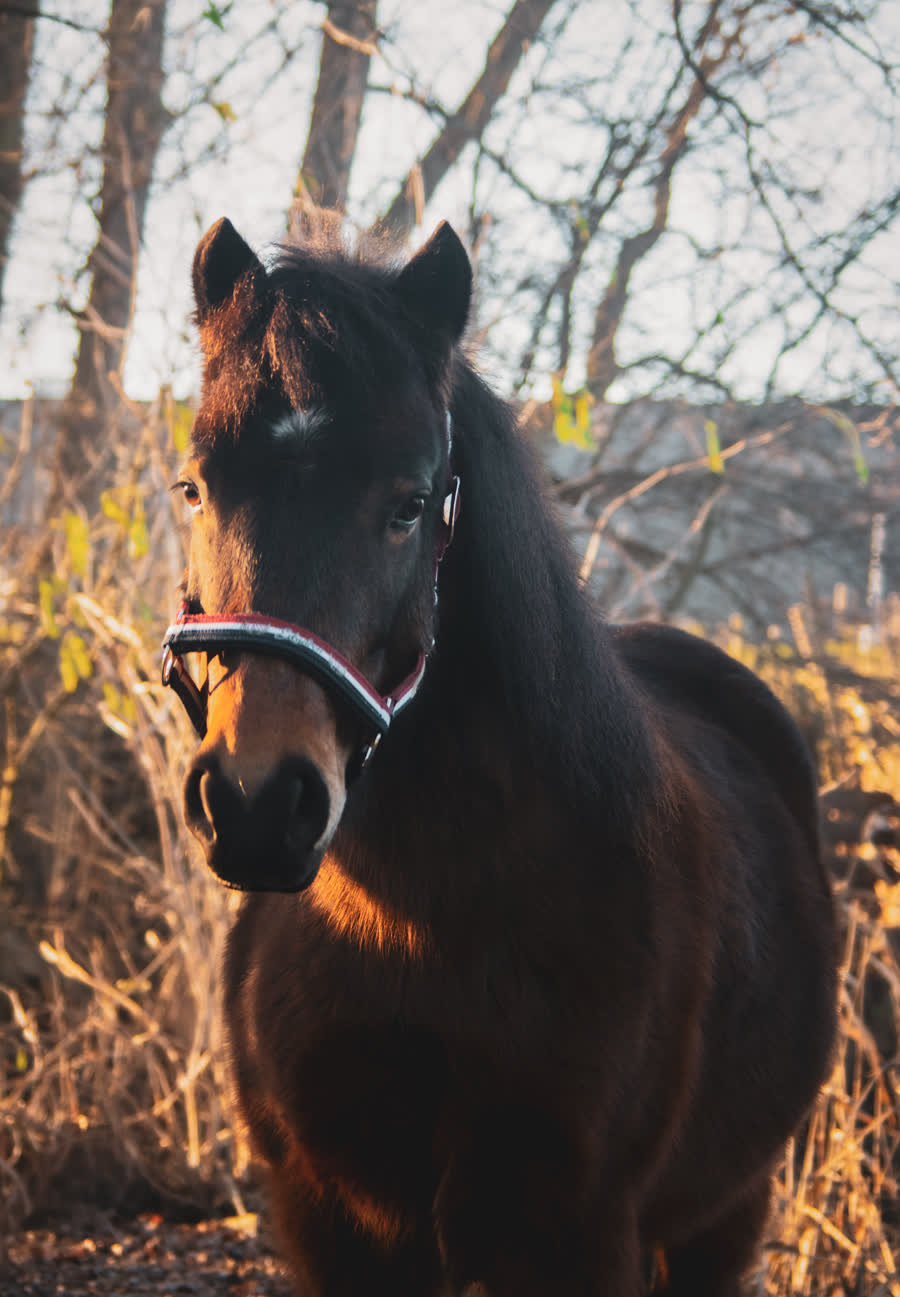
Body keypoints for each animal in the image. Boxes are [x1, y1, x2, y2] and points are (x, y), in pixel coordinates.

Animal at [162, 216, 837, 1296]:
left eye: (409, 502)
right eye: (194, 486)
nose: (259, 804)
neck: (416, 923)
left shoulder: (571, 1228)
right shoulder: (335, 1220)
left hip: (724, 1213)